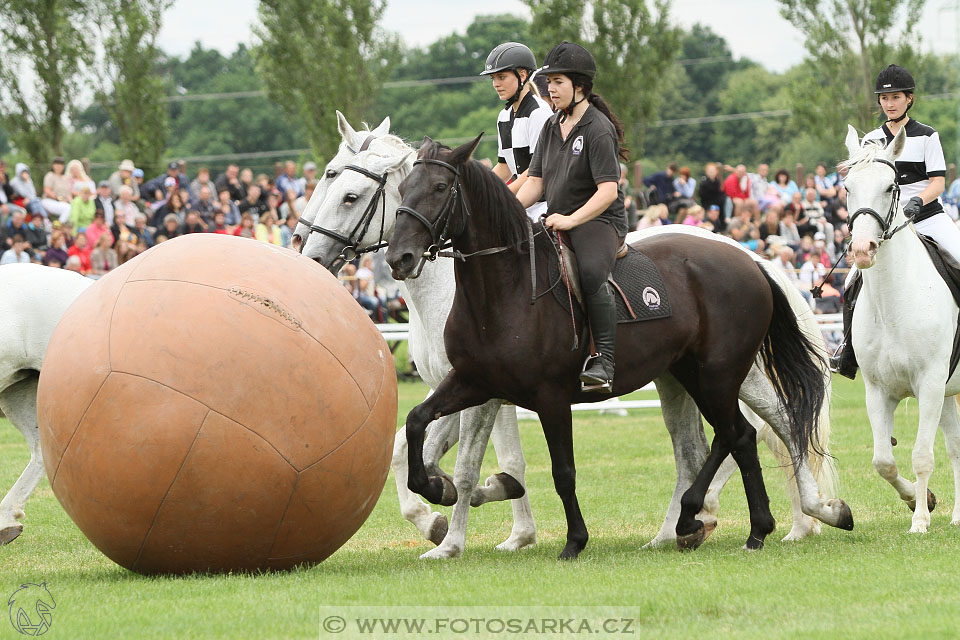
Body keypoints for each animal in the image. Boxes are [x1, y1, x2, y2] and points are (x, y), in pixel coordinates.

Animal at [302, 120, 848, 556]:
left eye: (349, 193)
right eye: (326, 177)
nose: (307, 251)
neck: (494, 287)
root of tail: (745, 255)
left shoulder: (518, 396)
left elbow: (488, 465)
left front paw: (458, 526)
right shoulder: (471, 384)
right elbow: (417, 440)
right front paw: (459, 512)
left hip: (723, 373)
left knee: (772, 424)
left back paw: (806, 514)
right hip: (683, 377)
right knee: (716, 441)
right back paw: (694, 525)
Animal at [844, 124, 960, 528]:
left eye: (890, 186)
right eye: (847, 187)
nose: (863, 250)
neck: (893, 303)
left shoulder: (929, 384)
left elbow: (922, 455)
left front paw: (920, 521)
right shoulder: (879, 391)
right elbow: (884, 461)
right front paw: (918, 501)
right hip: (949, 394)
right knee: (956, 448)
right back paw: (957, 516)